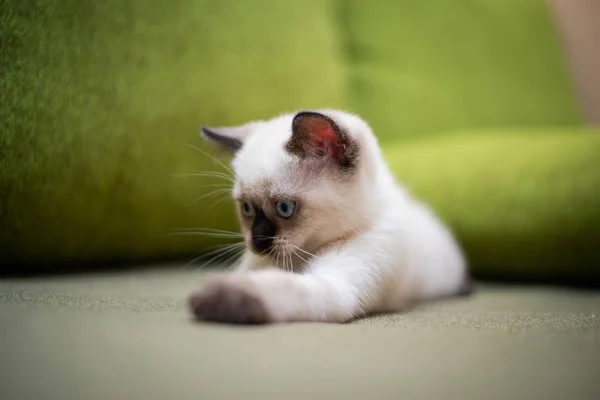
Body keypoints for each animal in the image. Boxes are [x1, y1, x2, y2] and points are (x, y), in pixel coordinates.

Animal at [188, 109, 468, 324]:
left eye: (285, 208)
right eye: (246, 208)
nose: (258, 241)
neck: (299, 259)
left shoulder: (337, 286)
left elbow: (278, 286)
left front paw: (212, 297)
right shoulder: (252, 266)